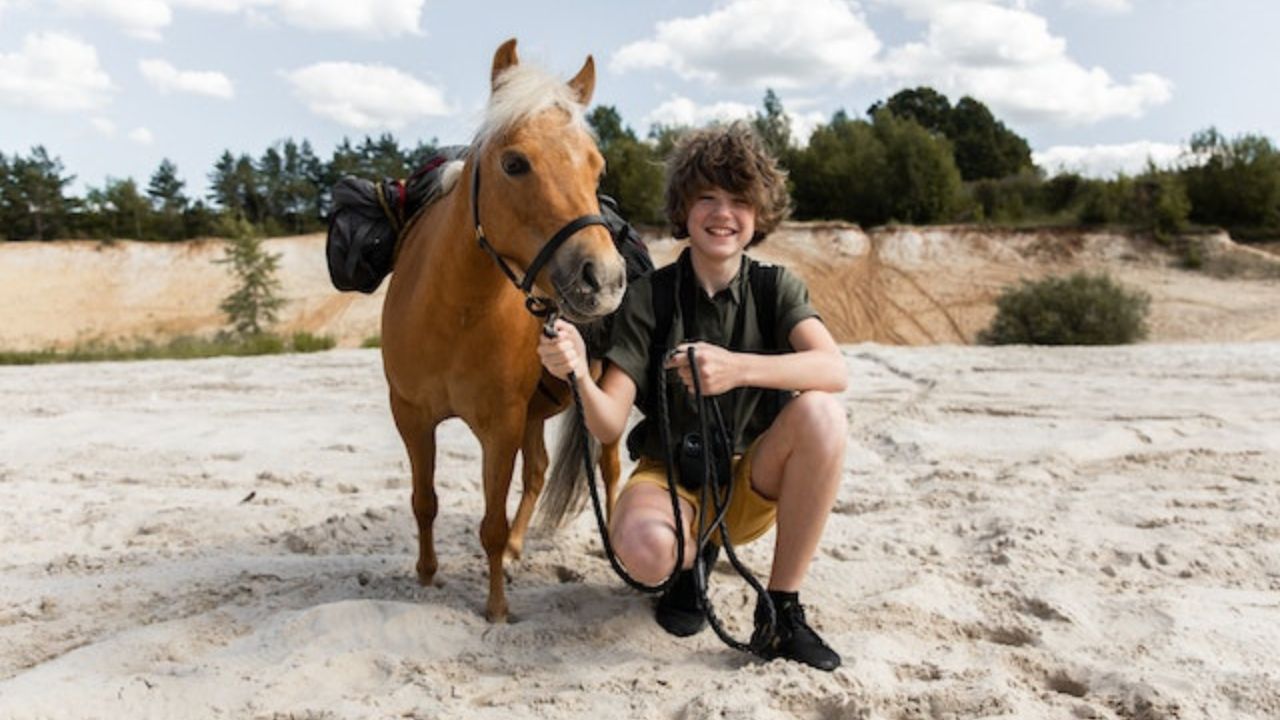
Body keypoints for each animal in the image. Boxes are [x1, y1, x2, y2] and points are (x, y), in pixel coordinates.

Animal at [381, 38, 626, 622]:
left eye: (597, 168)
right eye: (515, 163)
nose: (604, 279)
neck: (453, 314)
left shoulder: (500, 425)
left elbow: (489, 523)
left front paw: (495, 609)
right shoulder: (411, 416)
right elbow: (424, 501)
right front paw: (427, 575)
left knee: (608, 469)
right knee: (537, 471)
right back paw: (518, 546)